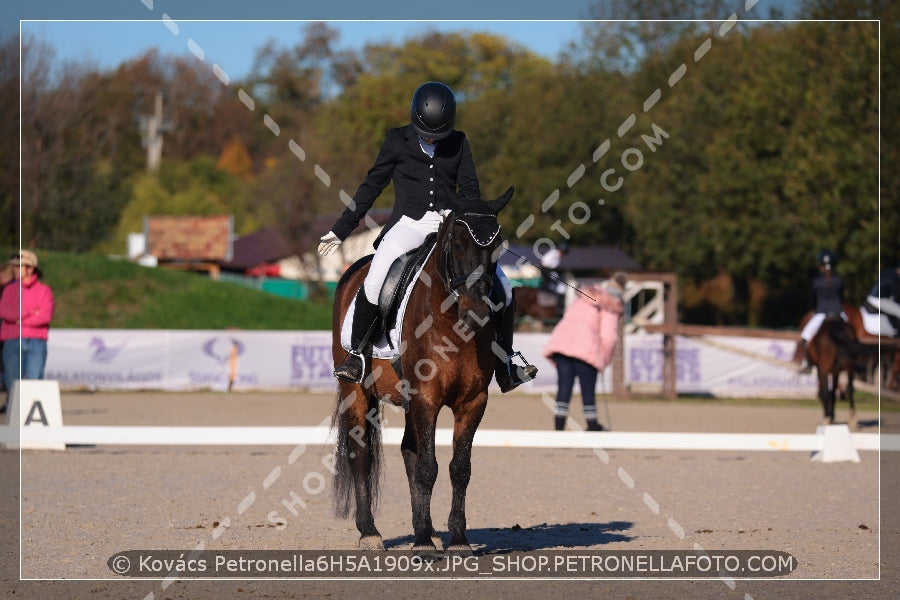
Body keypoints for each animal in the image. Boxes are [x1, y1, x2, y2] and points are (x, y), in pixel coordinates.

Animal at [330, 186, 512, 552]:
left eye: (498, 246)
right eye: (458, 243)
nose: (478, 313)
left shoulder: (472, 401)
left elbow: (459, 468)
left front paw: (457, 540)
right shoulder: (426, 397)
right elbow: (429, 467)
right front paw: (426, 546)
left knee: (408, 451)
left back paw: (422, 530)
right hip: (356, 391)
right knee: (361, 454)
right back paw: (370, 532)